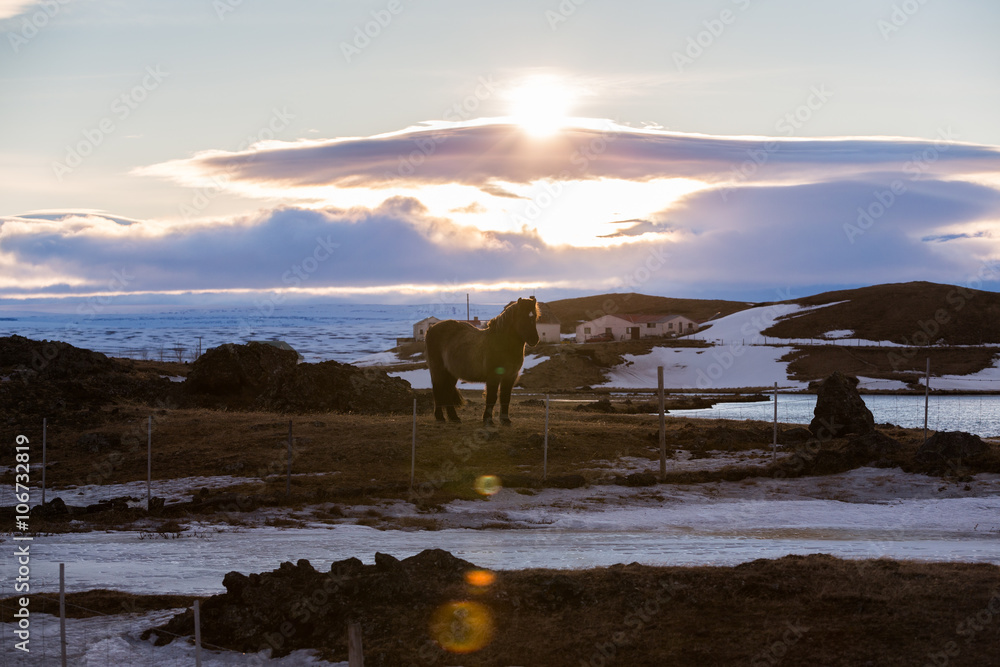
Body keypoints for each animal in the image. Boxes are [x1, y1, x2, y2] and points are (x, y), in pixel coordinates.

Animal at [426, 298, 544, 428]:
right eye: (521, 316)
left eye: (535, 317)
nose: (534, 339)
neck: (503, 344)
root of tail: (431, 328)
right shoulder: (493, 377)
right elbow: (491, 397)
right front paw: (488, 420)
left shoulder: (510, 376)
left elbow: (505, 397)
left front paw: (505, 420)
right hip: (438, 370)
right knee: (438, 391)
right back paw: (440, 417)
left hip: (451, 373)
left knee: (447, 392)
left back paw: (454, 418)